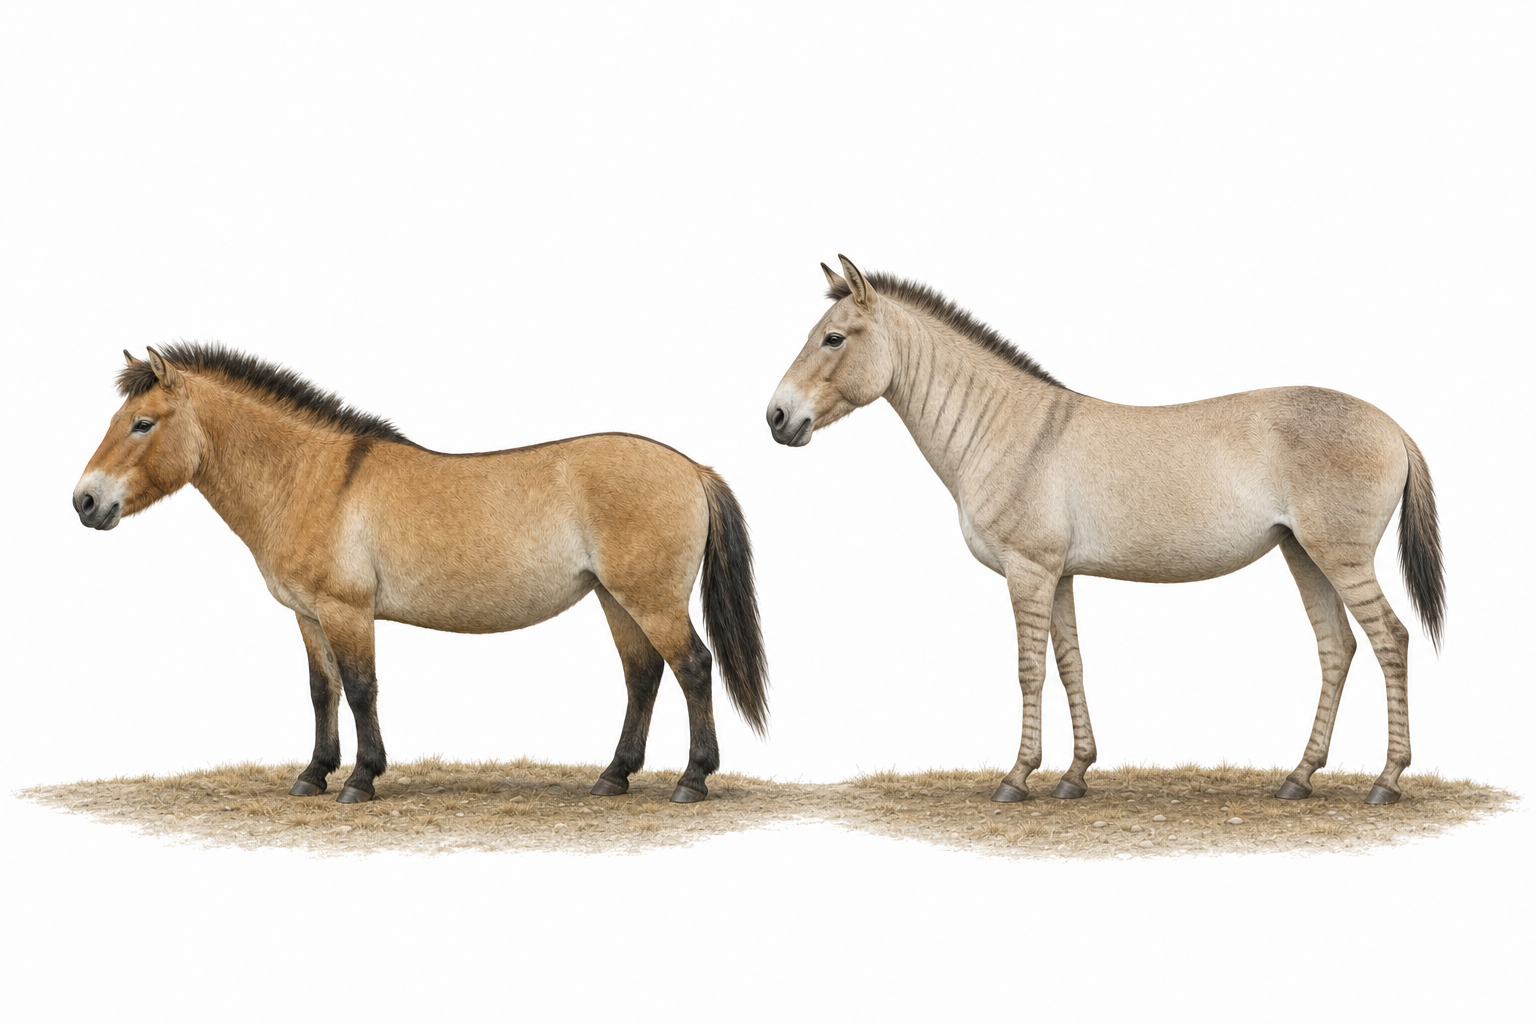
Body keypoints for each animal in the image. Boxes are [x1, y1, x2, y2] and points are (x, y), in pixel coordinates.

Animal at [73, 344, 768, 804]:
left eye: (142, 423)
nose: (85, 501)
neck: (308, 478)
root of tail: (693, 468)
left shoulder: (347, 611)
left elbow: (361, 689)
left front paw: (360, 779)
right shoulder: (308, 615)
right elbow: (322, 690)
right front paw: (312, 775)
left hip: (651, 600)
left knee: (693, 668)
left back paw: (692, 780)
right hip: (615, 599)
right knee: (643, 677)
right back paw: (613, 777)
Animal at [767, 256, 1443, 806]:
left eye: (832, 337)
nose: (776, 417)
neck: (1002, 427)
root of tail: (1392, 426)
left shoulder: (1028, 569)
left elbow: (1029, 668)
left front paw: (1017, 778)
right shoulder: (1059, 573)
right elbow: (1071, 663)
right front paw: (1074, 775)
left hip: (1340, 557)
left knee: (1390, 640)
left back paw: (1386, 782)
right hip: (1303, 554)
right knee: (1337, 648)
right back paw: (1298, 778)